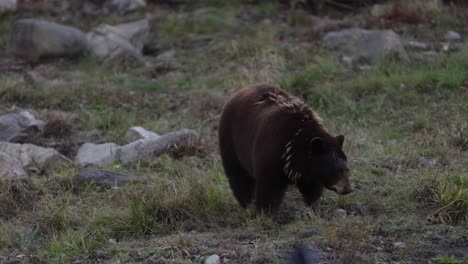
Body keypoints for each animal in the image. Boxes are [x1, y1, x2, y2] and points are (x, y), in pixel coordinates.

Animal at [218, 84, 352, 214]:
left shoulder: (309, 171)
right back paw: (247, 205)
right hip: (231, 142)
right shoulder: (271, 152)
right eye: (338, 170)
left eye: (347, 169)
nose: (349, 188)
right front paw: (265, 214)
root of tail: (239, 91)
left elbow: (312, 190)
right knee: (238, 176)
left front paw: (314, 210)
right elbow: (269, 189)